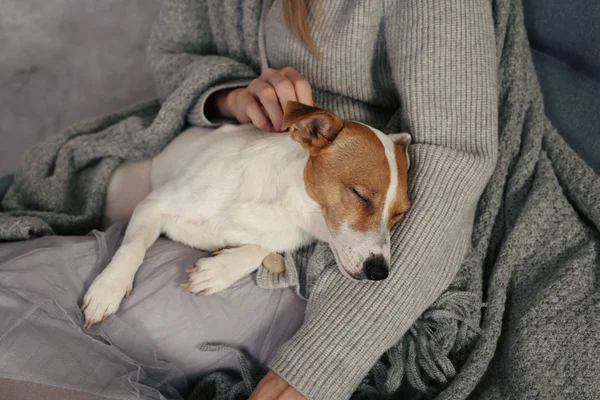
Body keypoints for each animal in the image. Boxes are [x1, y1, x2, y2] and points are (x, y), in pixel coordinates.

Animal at [82, 102, 410, 328]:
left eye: (398, 214)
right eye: (360, 195)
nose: (379, 272)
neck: (285, 206)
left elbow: (257, 249)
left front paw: (218, 270)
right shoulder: (153, 205)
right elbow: (132, 246)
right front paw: (108, 288)